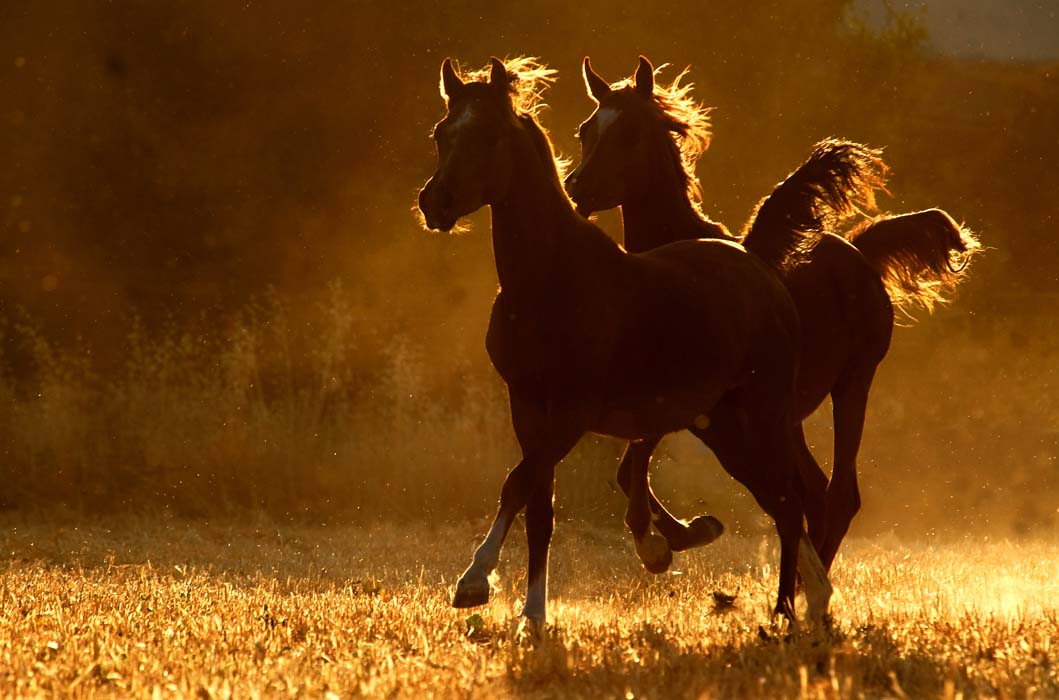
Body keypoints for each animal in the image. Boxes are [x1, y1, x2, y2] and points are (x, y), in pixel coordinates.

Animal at [417, 57, 830, 626]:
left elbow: (518, 484)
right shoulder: (527, 406)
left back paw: (787, 611)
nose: (434, 203)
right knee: (781, 498)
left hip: (761, 414)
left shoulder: (573, 412)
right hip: (723, 426)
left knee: (789, 501)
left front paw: (474, 582)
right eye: (443, 132)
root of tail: (762, 271)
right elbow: (538, 508)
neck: (552, 281)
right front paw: (533, 614)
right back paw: (809, 600)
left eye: (490, 134)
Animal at [567, 54, 978, 567]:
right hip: (787, 419)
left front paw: (663, 543)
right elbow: (629, 469)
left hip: (852, 384)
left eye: (630, 133)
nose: (575, 187)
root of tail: (858, 249)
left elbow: (634, 463)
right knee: (815, 495)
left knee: (838, 496)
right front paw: (686, 534)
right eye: (586, 129)